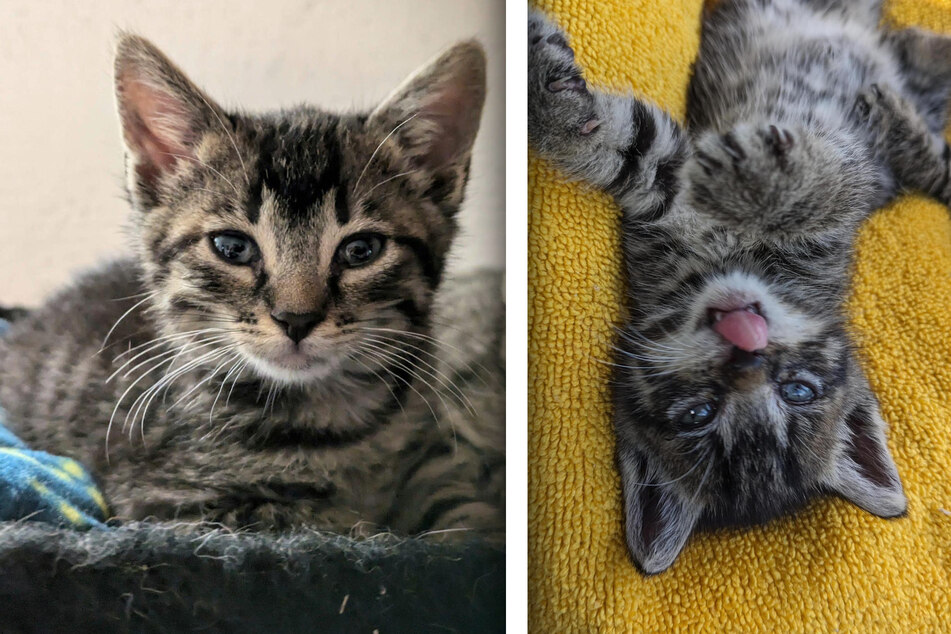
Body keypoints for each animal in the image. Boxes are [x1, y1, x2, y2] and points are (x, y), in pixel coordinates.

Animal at [0, 34, 506, 536]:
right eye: (232, 247)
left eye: (362, 249)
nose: (296, 319)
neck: (330, 416)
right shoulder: (168, 503)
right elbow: (325, 522)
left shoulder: (435, 453)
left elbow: (463, 513)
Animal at [528, 0, 951, 572]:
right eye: (697, 415)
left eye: (798, 390)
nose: (746, 344)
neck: (730, 263)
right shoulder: (665, 203)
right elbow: (611, 142)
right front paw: (549, 91)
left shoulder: (835, 205)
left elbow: (826, 183)